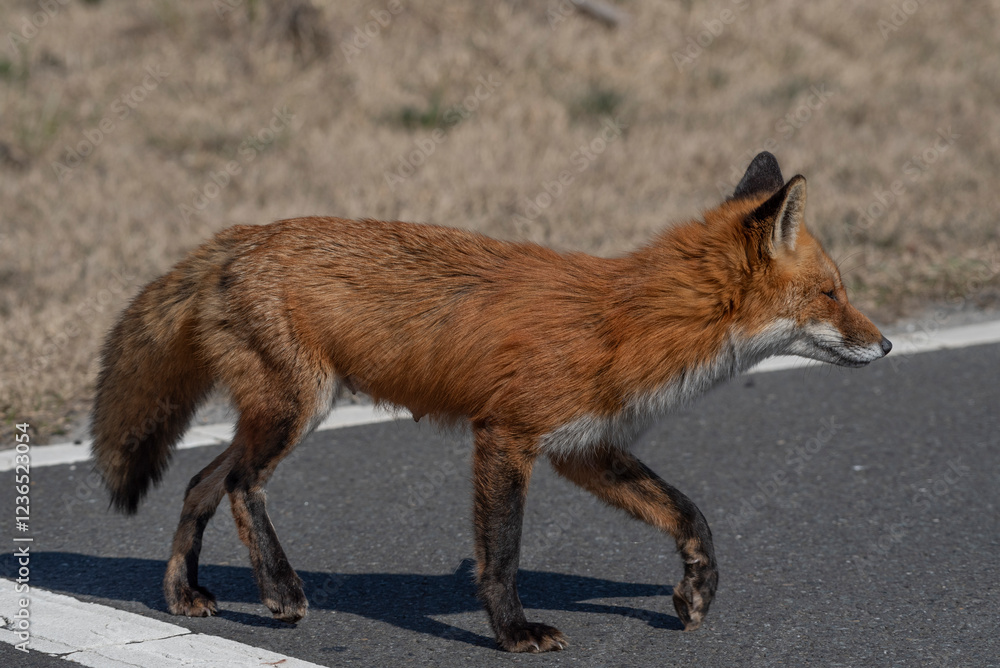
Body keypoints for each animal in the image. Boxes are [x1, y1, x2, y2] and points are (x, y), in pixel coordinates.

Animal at [92, 151, 891, 652]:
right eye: (833, 294)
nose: (885, 347)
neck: (633, 319)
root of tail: (235, 236)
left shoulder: (582, 447)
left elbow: (690, 512)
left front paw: (697, 591)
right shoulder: (507, 434)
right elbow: (501, 553)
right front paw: (513, 633)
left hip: (275, 411)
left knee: (200, 481)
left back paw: (184, 593)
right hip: (296, 409)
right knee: (240, 485)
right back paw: (281, 592)